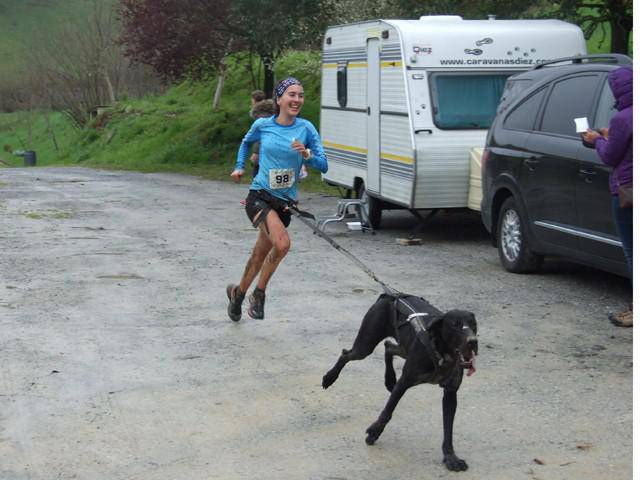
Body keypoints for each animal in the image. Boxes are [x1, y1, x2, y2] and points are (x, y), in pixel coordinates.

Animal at [322, 292, 478, 472]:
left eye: (474, 325)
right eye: (455, 325)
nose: (473, 341)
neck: (441, 353)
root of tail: (390, 296)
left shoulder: (451, 393)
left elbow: (448, 428)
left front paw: (450, 457)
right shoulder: (404, 382)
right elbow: (388, 411)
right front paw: (375, 431)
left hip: (403, 347)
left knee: (388, 346)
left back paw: (389, 378)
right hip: (365, 346)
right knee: (346, 354)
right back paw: (330, 377)